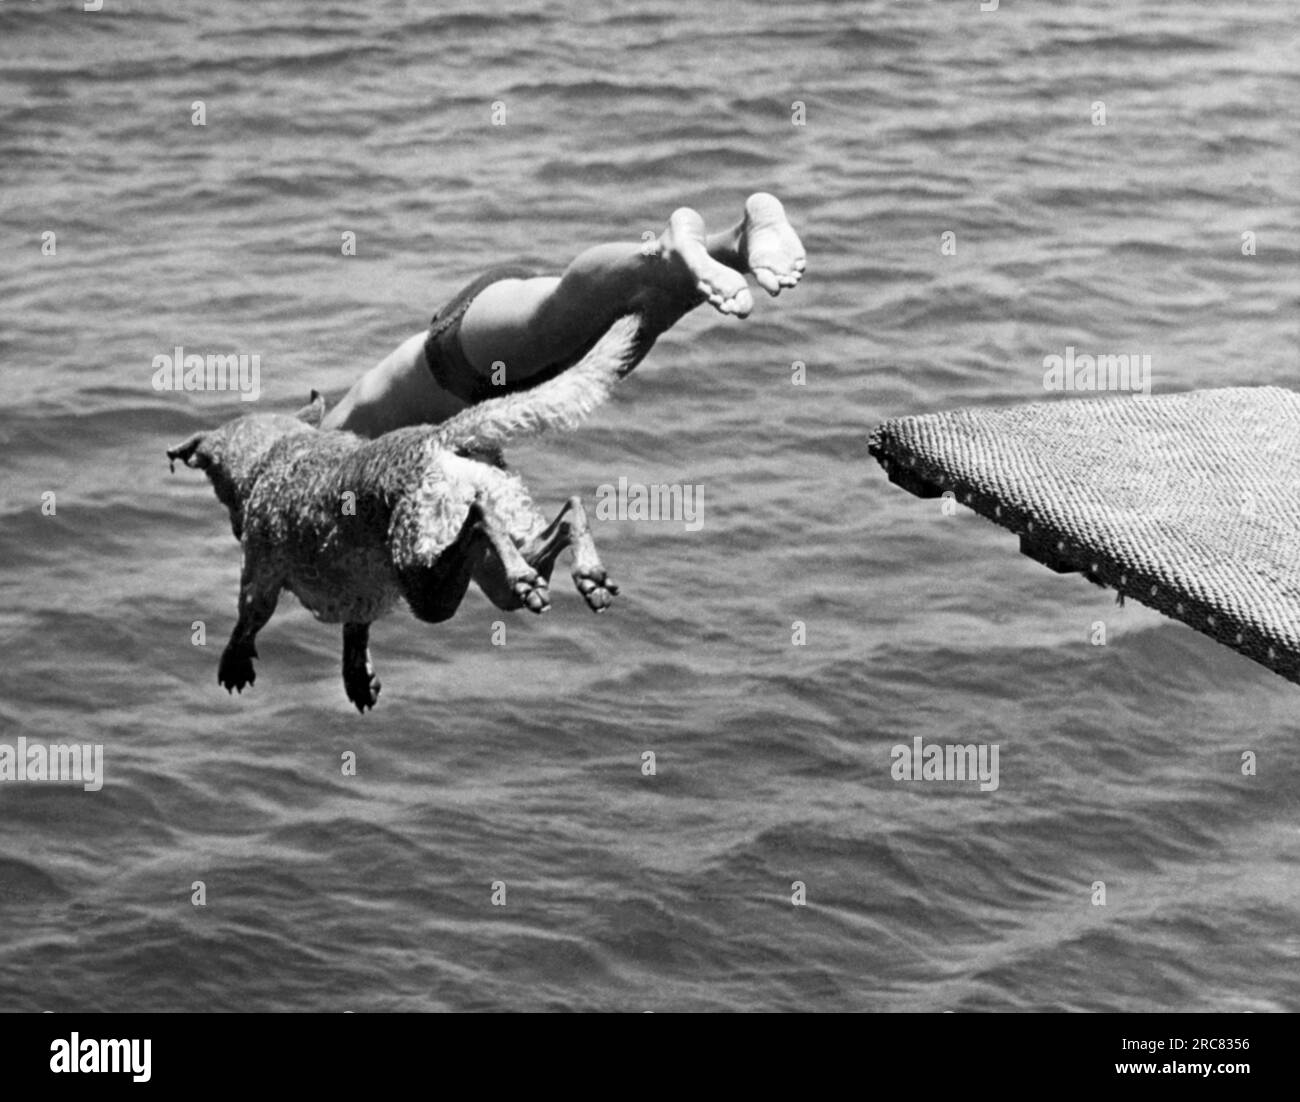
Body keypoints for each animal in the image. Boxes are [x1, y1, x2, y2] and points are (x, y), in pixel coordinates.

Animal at [167, 314, 644, 712]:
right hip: (494, 573)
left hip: (426, 586)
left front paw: (235, 661)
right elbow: (355, 634)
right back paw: (584, 574)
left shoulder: (260, 577)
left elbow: (248, 618)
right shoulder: (359, 598)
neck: (277, 453)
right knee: (565, 517)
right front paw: (359, 678)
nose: (235, 526)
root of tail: (439, 438)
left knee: (479, 520)